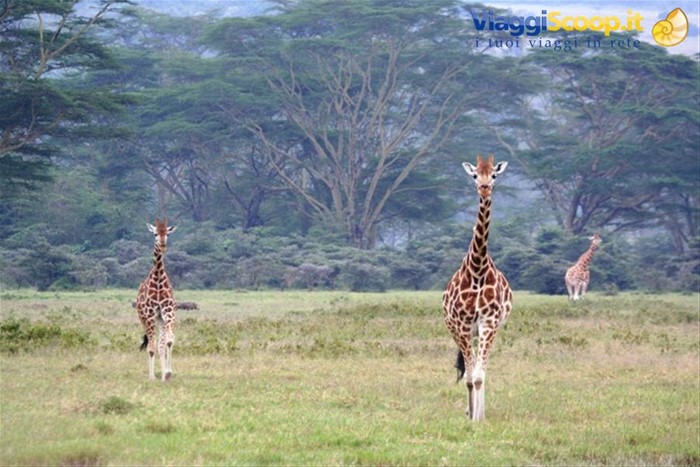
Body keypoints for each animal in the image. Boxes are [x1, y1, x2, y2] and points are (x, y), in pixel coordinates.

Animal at [136, 218, 177, 381]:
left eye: (167, 233)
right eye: (155, 233)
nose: (163, 245)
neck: (158, 278)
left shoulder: (167, 312)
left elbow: (168, 342)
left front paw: (168, 373)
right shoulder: (150, 315)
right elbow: (151, 348)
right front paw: (152, 377)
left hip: (159, 320)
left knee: (160, 345)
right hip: (145, 319)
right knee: (151, 345)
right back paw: (153, 375)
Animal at [442, 155, 513, 421]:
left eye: (493, 174)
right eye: (474, 175)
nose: (484, 187)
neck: (478, 270)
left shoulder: (488, 323)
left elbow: (480, 376)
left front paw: (478, 417)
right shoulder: (462, 325)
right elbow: (470, 378)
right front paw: (471, 414)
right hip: (457, 331)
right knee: (467, 371)